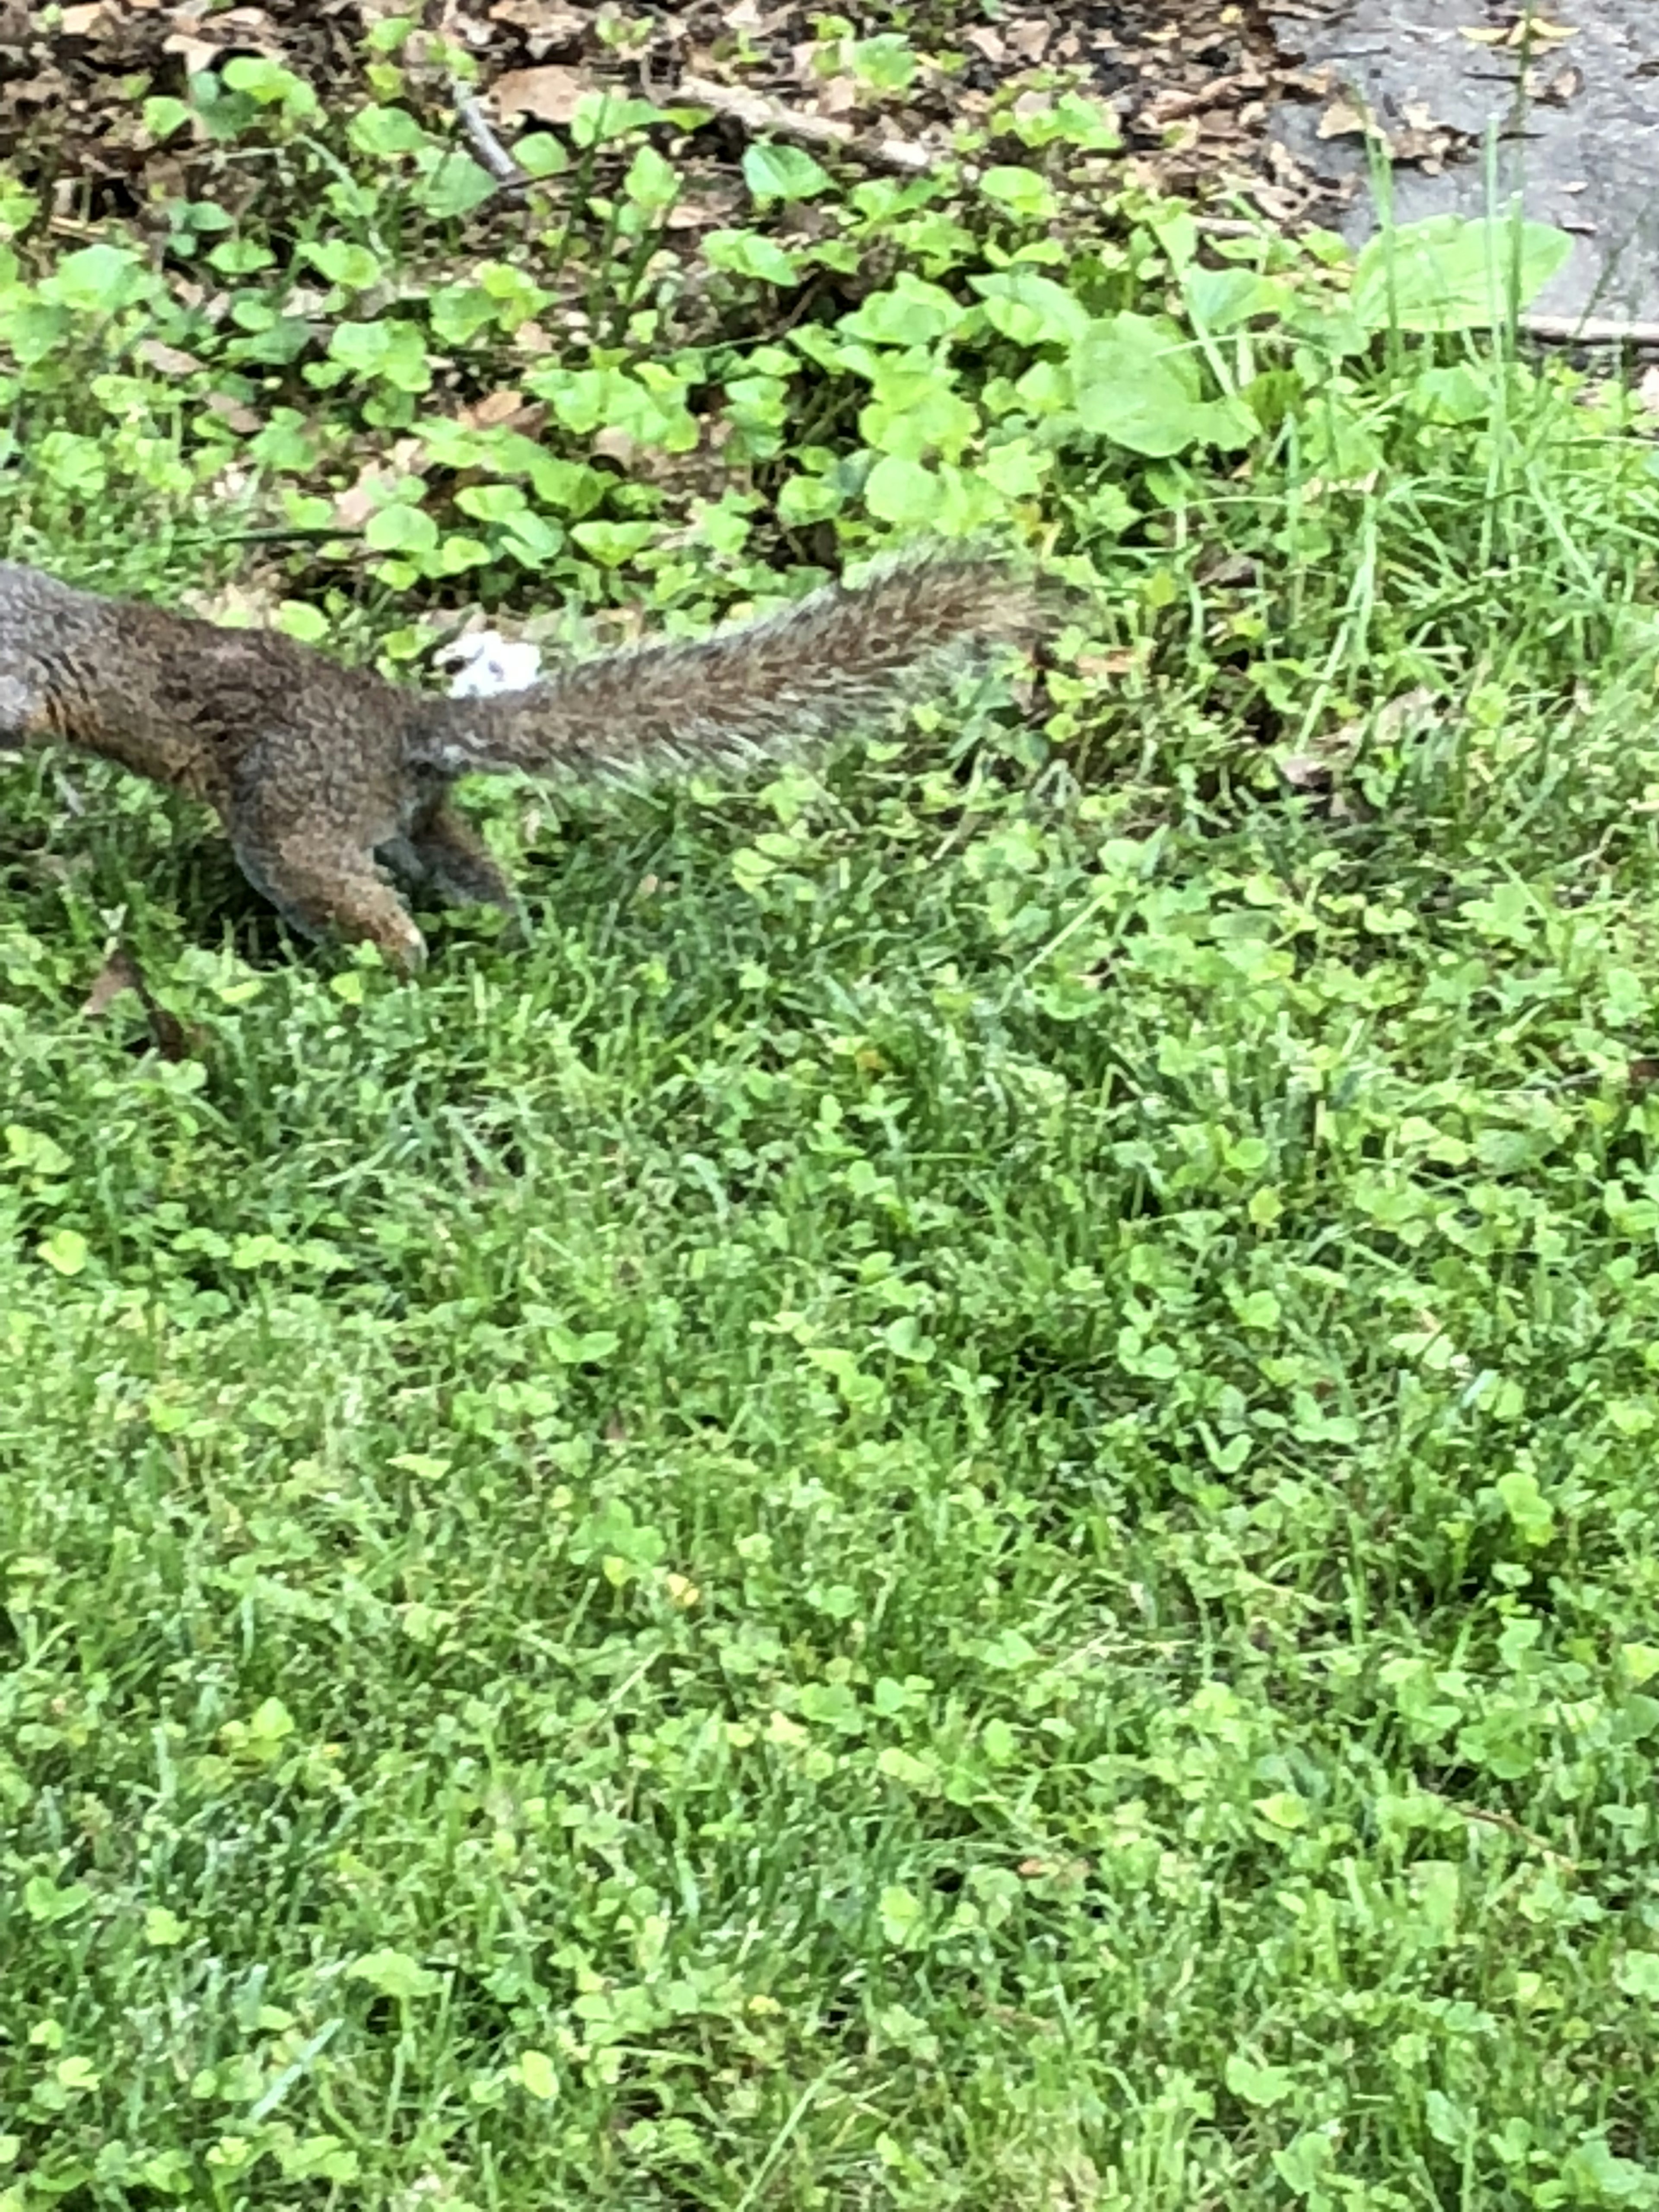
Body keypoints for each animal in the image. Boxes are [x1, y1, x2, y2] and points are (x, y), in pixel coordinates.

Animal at [0, 548, 1044, 973]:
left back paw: (387, 973)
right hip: (411, 824)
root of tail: (403, 727)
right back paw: (514, 938)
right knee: (470, 873)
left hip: (293, 832)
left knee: (375, 916)